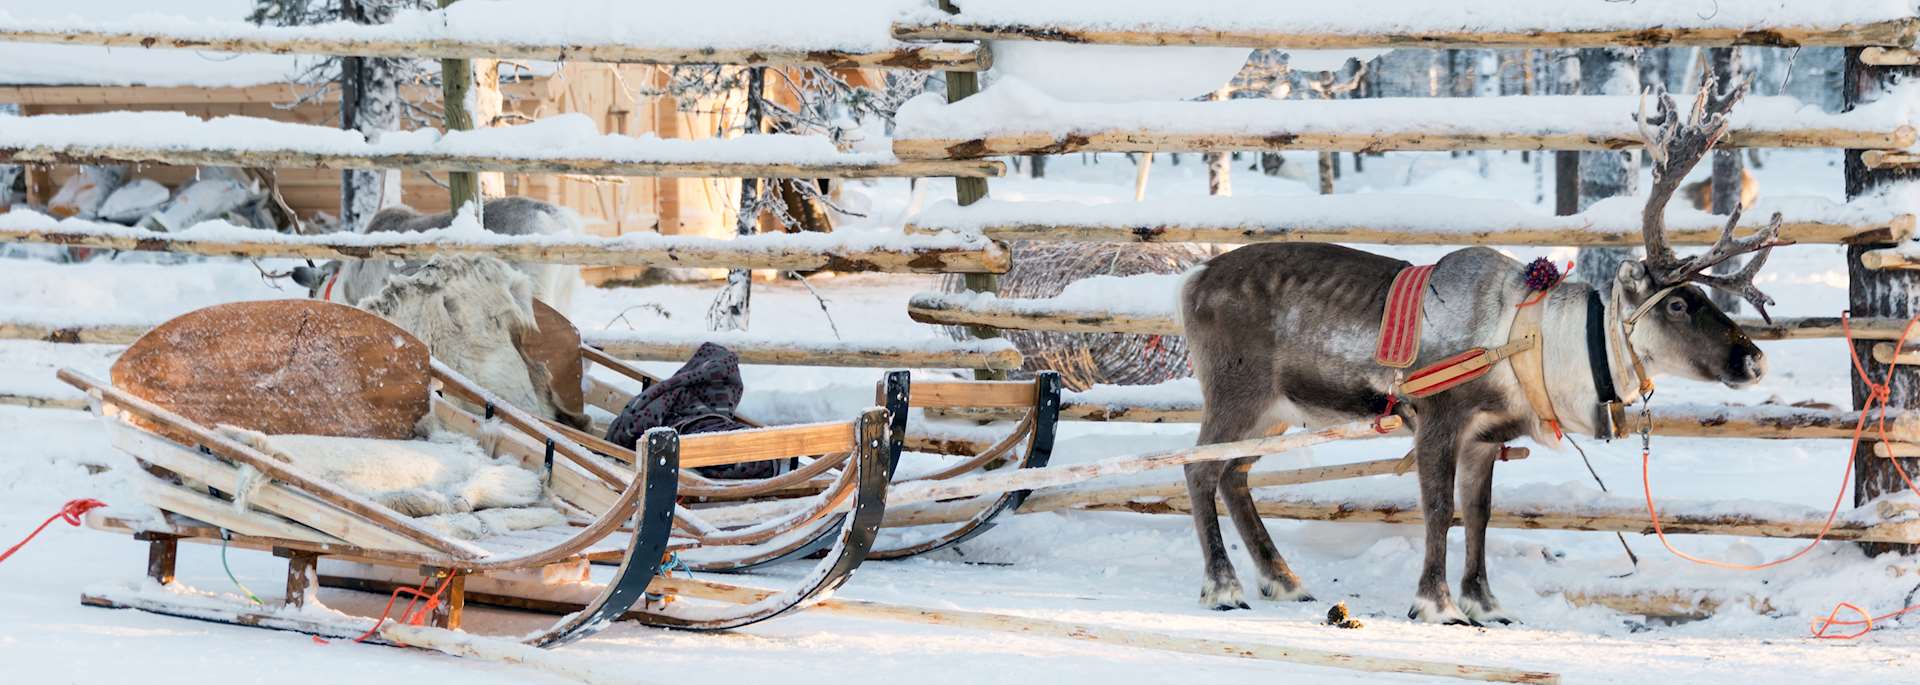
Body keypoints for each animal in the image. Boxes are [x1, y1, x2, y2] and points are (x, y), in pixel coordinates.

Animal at [1175, 72, 1779, 625]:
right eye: (1677, 303)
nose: (1755, 359)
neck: (1531, 342)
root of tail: (1192, 281)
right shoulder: (1439, 419)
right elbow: (1440, 509)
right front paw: (1436, 604)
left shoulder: (1487, 437)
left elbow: (1480, 512)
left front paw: (1484, 602)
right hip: (1236, 394)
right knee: (1199, 470)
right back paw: (1224, 587)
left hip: (1275, 413)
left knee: (1234, 474)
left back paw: (1283, 580)